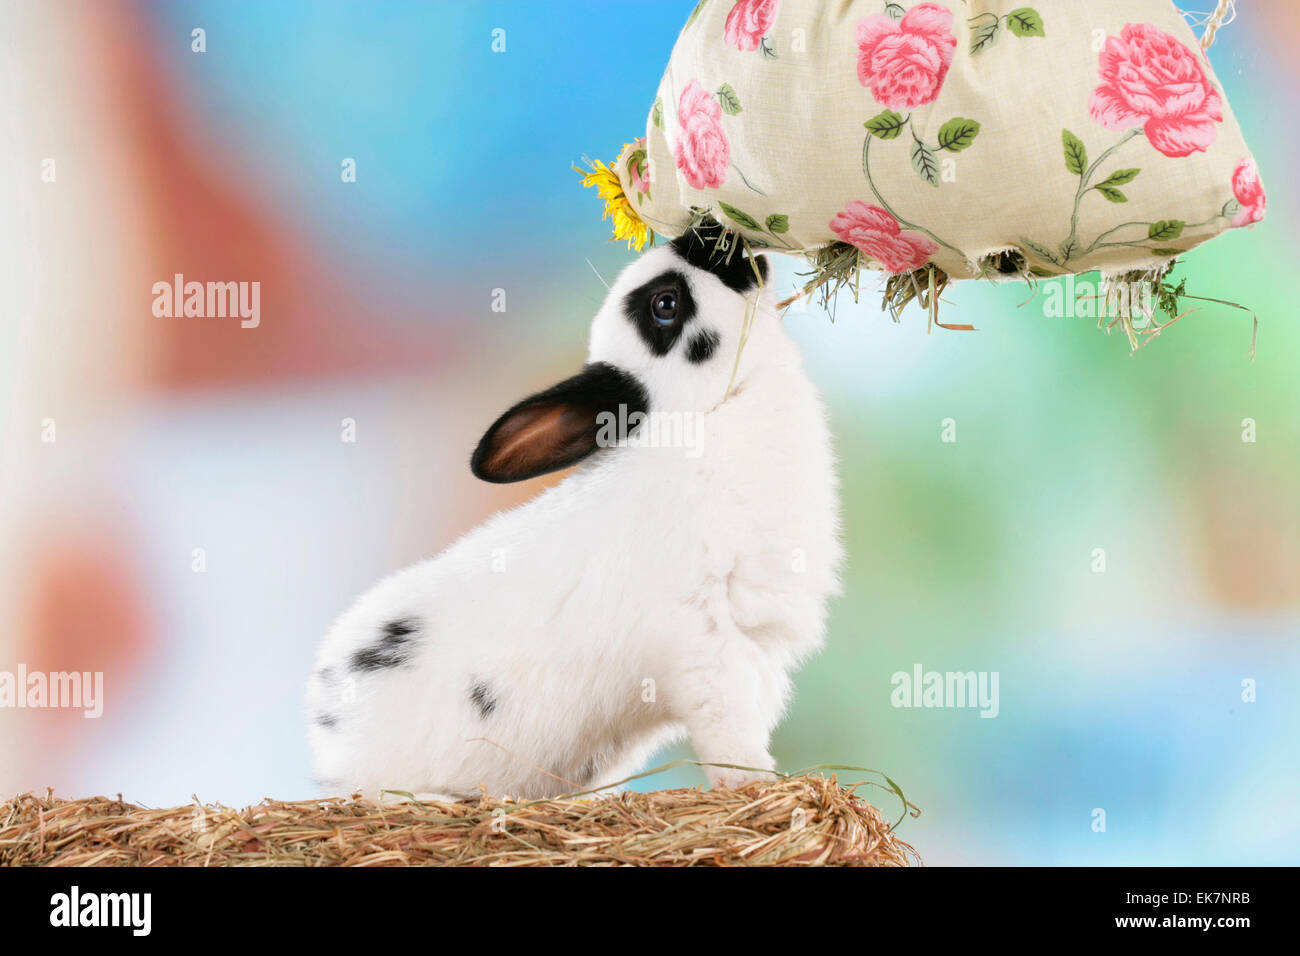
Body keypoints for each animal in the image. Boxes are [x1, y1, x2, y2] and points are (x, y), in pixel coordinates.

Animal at [306, 222, 842, 801]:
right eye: (665, 305)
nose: (709, 231)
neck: (704, 417)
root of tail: (326, 733)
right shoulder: (702, 645)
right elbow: (731, 738)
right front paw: (760, 787)